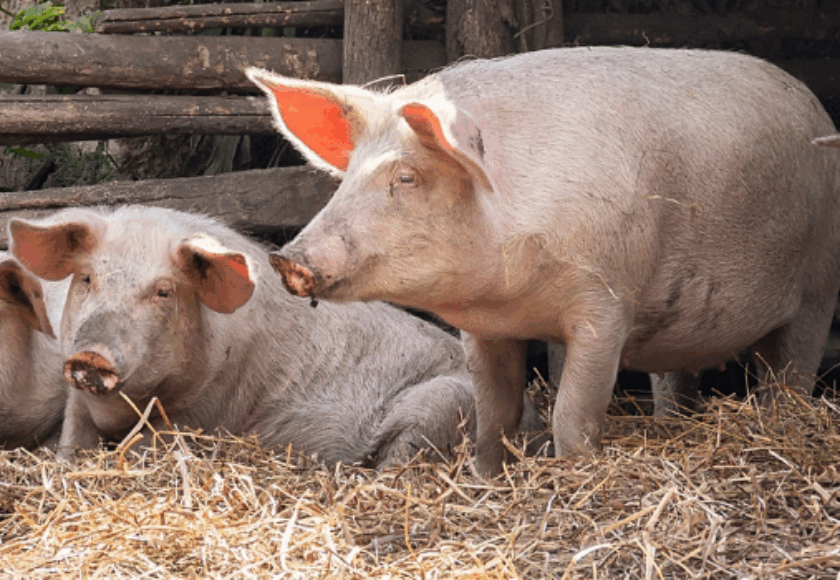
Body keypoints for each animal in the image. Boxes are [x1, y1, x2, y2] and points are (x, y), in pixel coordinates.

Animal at [9, 206, 543, 465]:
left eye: (163, 291)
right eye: (86, 279)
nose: (92, 356)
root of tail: (536, 423)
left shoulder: (210, 409)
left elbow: (146, 444)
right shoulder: (78, 400)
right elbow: (71, 442)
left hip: (444, 402)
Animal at [247, 46, 840, 475]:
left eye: (407, 177)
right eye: (347, 177)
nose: (286, 259)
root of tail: (814, 102)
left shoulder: (606, 304)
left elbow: (573, 411)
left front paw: (572, 474)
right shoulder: (485, 330)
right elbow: (493, 412)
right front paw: (486, 478)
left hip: (819, 282)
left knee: (791, 372)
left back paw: (782, 421)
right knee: (676, 379)